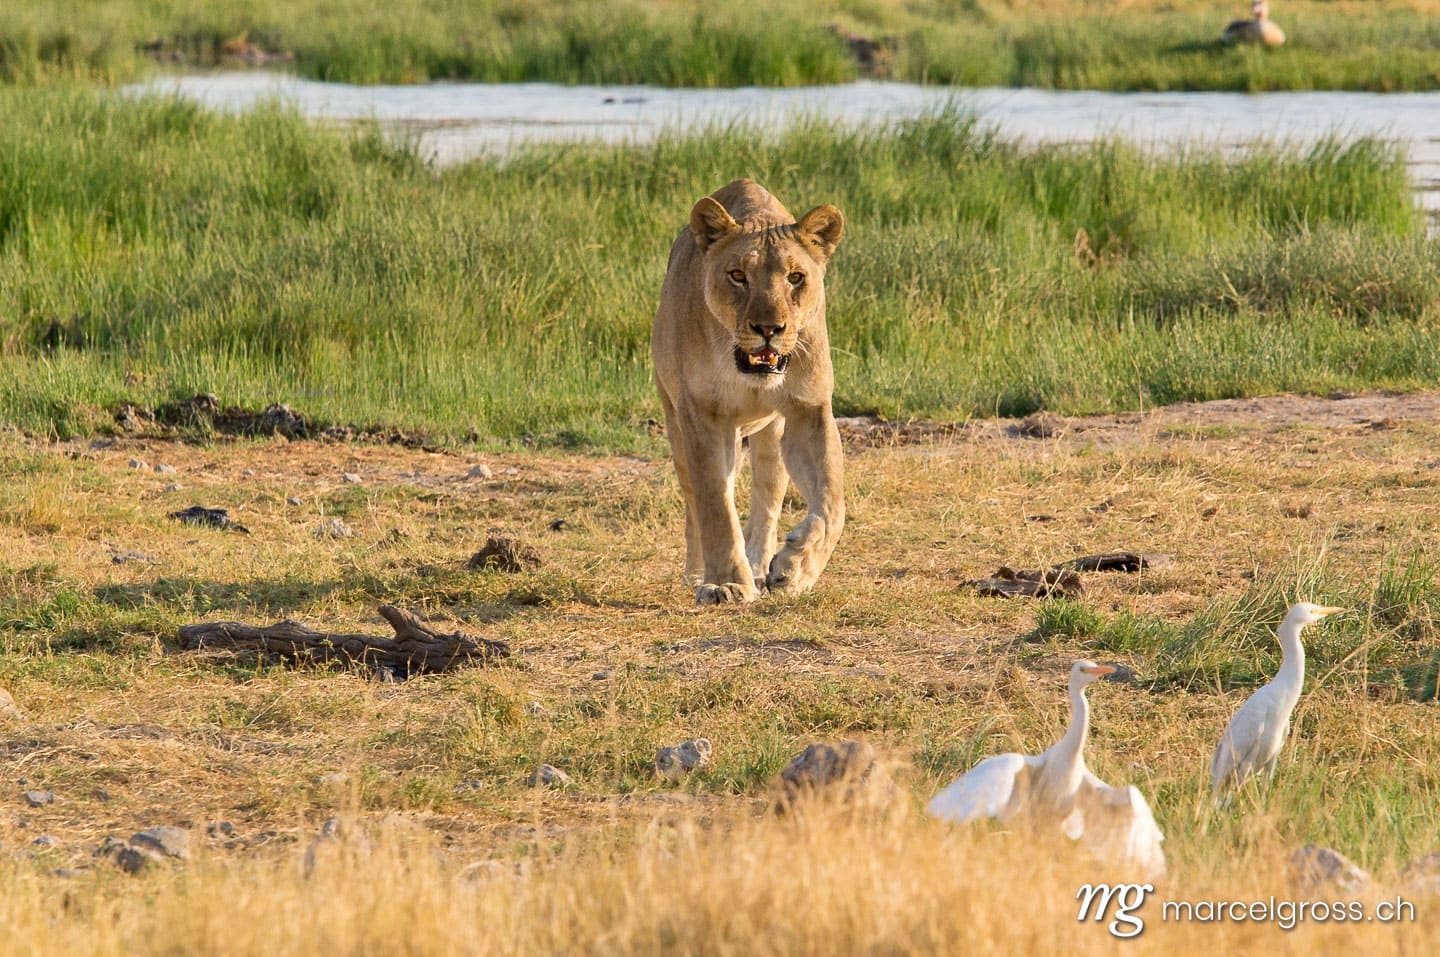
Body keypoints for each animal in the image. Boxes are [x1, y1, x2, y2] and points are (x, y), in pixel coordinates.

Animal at [652, 179, 846, 605]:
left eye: (795, 277)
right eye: (738, 275)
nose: (768, 328)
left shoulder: (809, 409)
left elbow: (831, 502)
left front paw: (794, 568)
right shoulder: (702, 417)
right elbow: (715, 506)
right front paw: (724, 583)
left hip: (771, 437)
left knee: (767, 498)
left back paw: (759, 567)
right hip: (676, 424)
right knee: (694, 502)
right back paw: (698, 573)